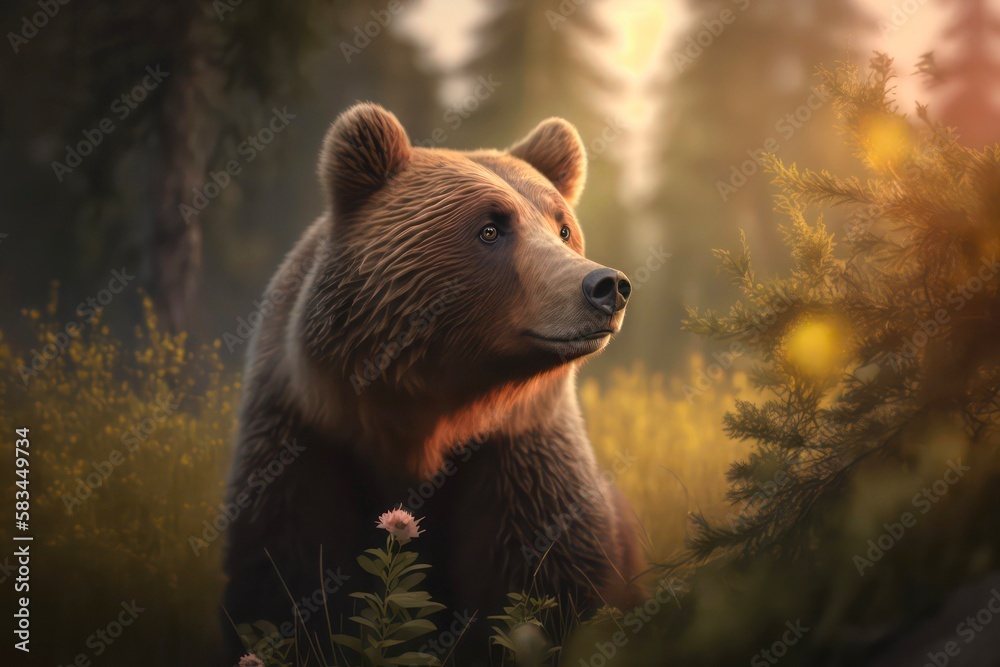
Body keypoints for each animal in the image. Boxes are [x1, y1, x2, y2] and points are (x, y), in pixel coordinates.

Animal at [222, 103, 642, 661]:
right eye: (490, 228)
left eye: (563, 228)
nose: (606, 285)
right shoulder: (303, 441)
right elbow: (280, 574)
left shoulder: (518, 457)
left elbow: (551, 578)